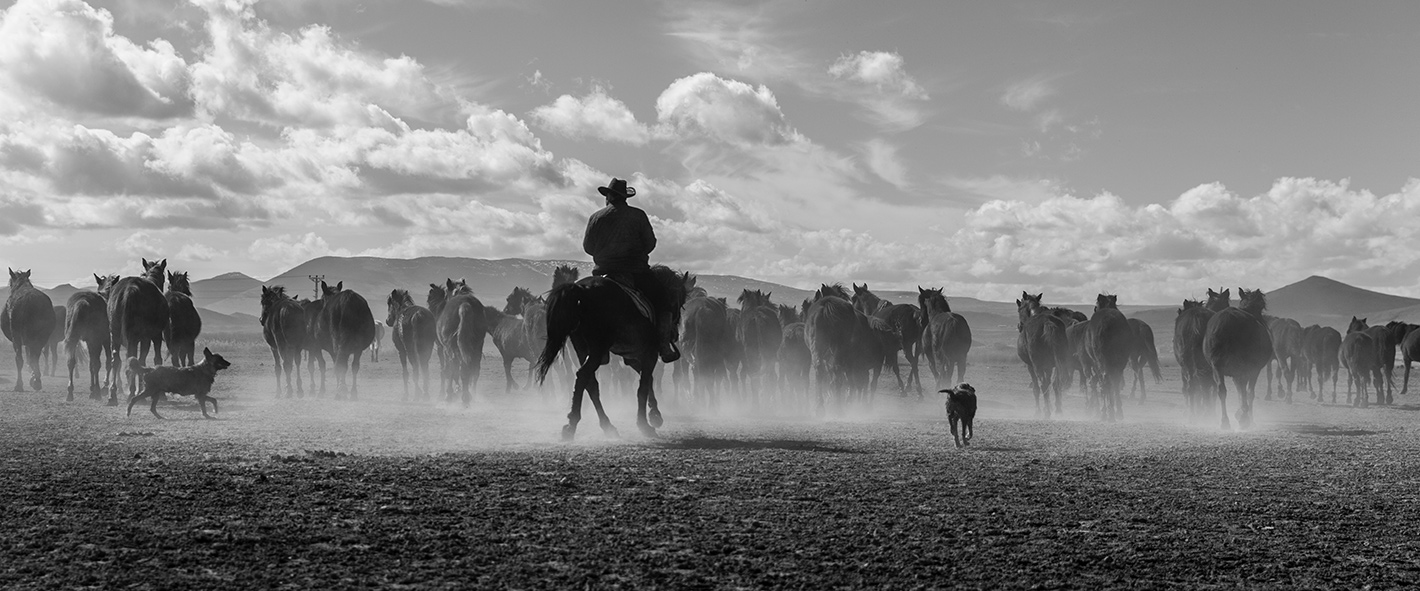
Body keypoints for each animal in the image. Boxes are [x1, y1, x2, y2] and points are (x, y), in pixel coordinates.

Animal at [105, 258, 168, 400]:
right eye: (164, 277)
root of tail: (130, 289)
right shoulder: (154, 337)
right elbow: (154, 359)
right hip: (137, 338)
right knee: (132, 359)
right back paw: (131, 391)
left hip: (115, 335)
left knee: (116, 360)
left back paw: (113, 393)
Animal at [533, 265, 690, 440]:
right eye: (680, 301)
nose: (675, 334)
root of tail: (582, 290)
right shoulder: (650, 354)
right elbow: (642, 387)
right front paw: (644, 424)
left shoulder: (632, 357)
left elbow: (647, 380)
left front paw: (655, 415)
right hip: (597, 349)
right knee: (583, 376)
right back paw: (572, 424)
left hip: (582, 349)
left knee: (591, 384)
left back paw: (607, 425)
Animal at [1204, 286, 1272, 429]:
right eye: (1261, 305)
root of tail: (1227, 320)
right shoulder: (1253, 369)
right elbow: (1249, 392)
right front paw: (1247, 416)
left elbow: (1240, 389)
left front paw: (1241, 413)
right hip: (1243, 366)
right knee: (1243, 388)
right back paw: (1243, 417)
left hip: (1218, 366)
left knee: (1221, 390)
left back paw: (1225, 421)